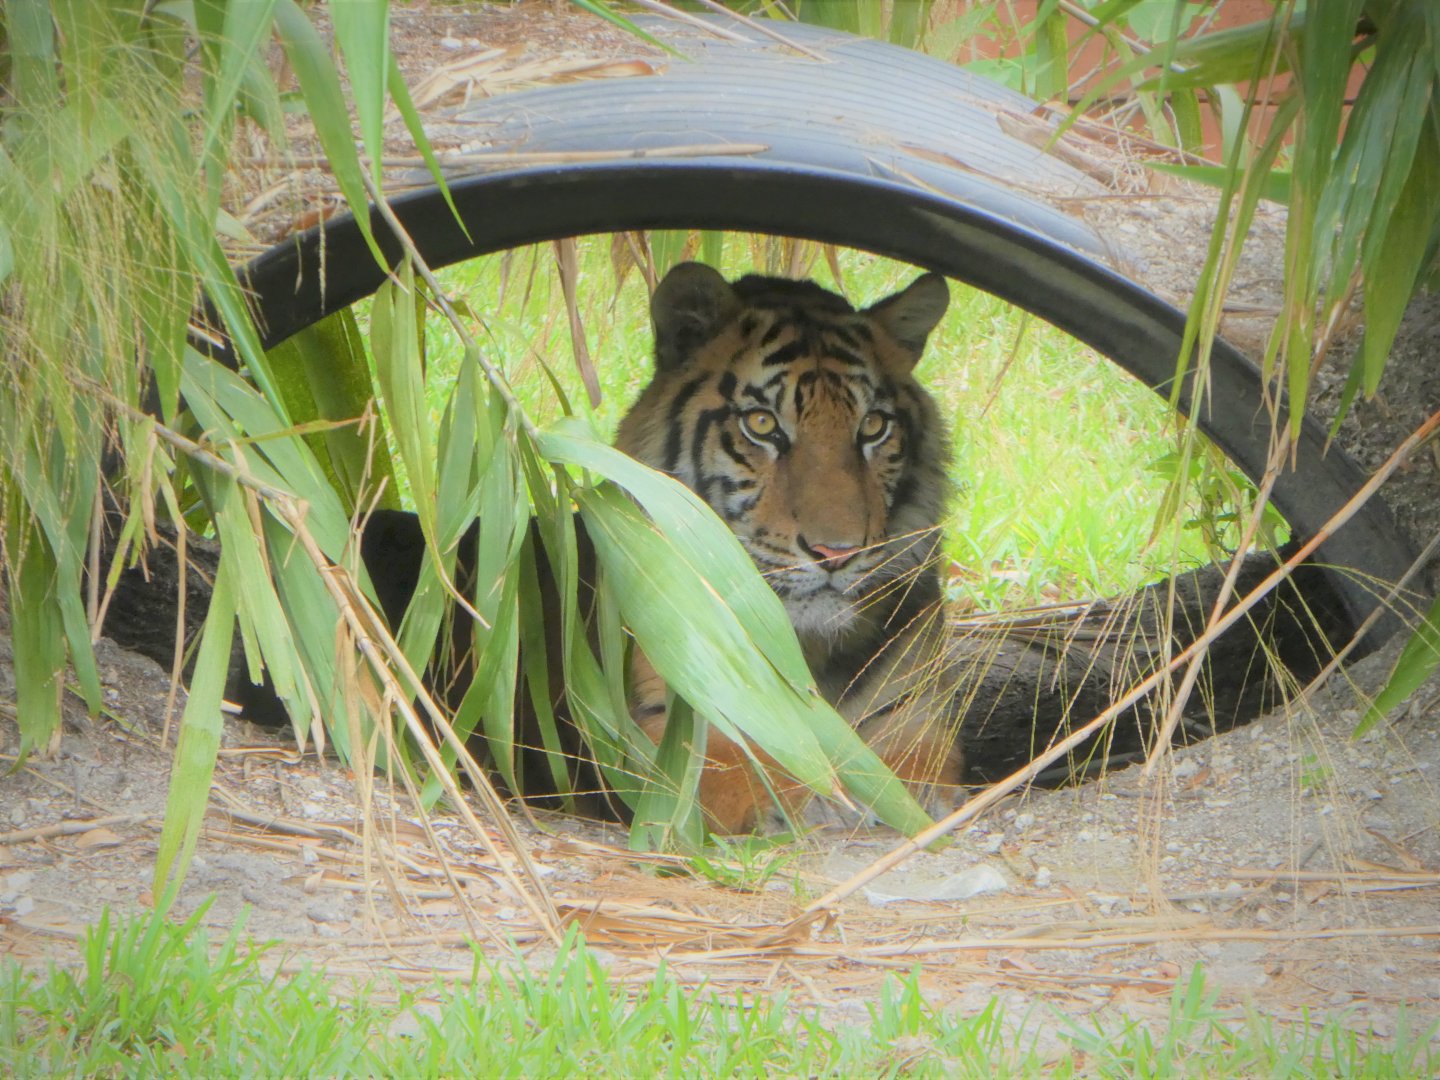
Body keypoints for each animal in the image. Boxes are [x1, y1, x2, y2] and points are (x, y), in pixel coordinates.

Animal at [616, 262, 965, 833]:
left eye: (873, 427)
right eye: (762, 424)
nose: (836, 553)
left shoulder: (915, 709)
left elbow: (911, 767)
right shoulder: (675, 712)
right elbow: (740, 767)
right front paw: (803, 806)